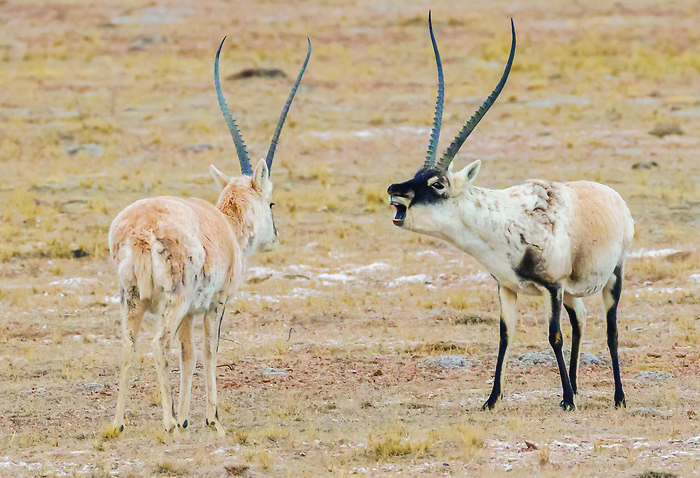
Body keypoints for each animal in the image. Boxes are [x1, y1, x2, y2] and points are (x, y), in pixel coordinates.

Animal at [110, 37, 312, 434]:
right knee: (157, 344)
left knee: (128, 346)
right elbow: (209, 350)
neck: (225, 225)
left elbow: (188, 355)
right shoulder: (215, 305)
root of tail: (141, 228)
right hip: (172, 300)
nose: (275, 237)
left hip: (132, 300)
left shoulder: (191, 313)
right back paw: (168, 423)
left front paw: (188, 416)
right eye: (271, 202)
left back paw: (118, 425)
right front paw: (211, 419)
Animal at [388, 14, 636, 410]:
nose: (395, 190)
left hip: (612, 276)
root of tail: (614, 198)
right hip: (571, 292)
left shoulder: (552, 287)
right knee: (581, 320)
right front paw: (492, 400)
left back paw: (617, 397)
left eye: (438, 184)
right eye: (417, 174)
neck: (502, 218)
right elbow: (506, 336)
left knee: (611, 330)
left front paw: (566, 400)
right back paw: (577, 387)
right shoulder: (506, 286)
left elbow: (553, 337)